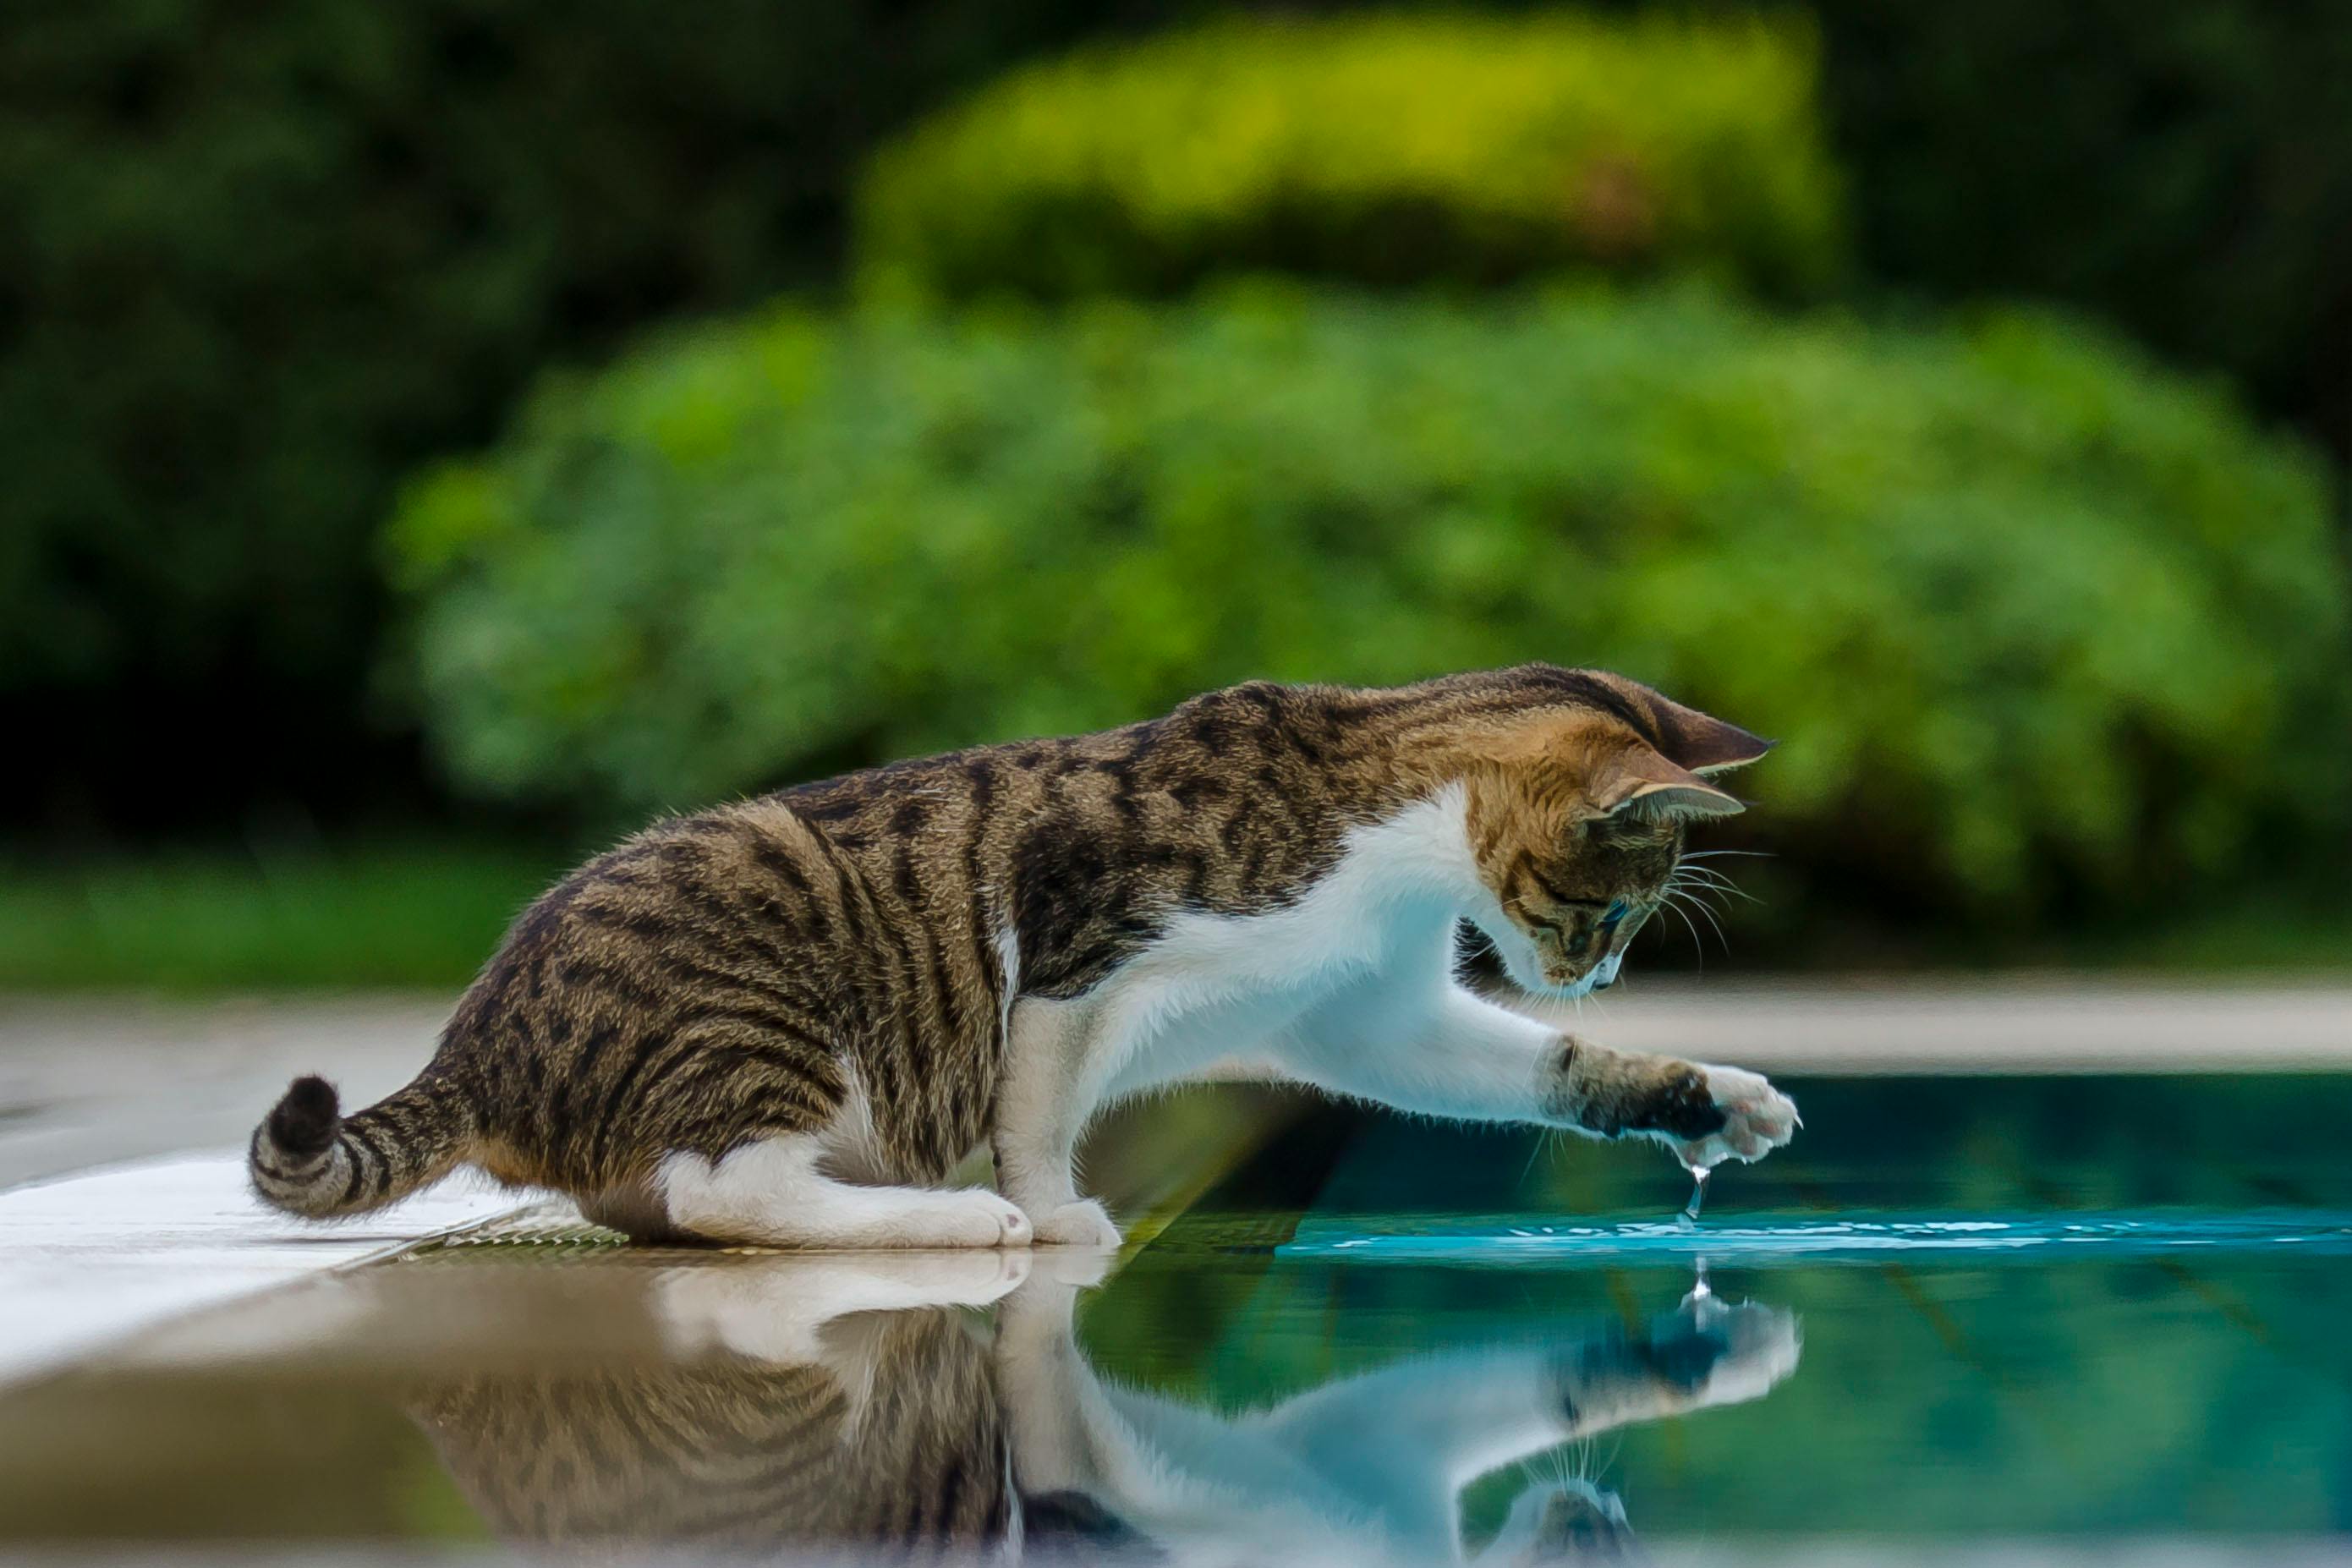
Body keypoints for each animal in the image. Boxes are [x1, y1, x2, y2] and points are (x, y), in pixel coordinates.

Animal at [248, 667, 1796, 1250]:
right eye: (1606, 911)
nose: (1594, 975)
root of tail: (479, 1036)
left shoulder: (1363, 1010)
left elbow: (1539, 1068)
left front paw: (1709, 1094)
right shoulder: (1070, 945)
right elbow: (1037, 1105)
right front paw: (1054, 1214)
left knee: (672, 1198)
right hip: (769, 975)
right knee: (721, 1188)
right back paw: (946, 1218)